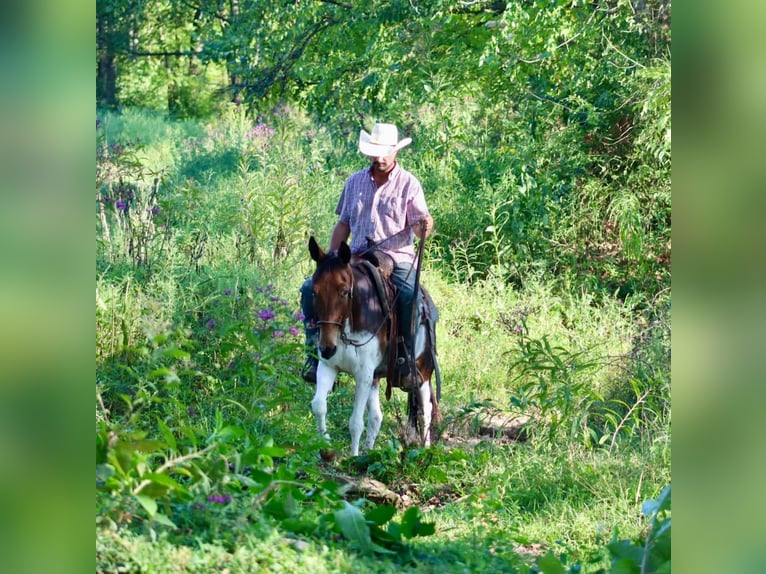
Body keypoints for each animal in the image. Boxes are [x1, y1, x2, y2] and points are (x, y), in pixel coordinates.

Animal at [307, 236, 440, 456]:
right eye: (314, 291)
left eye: (344, 291)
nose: (327, 348)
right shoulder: (329, 366)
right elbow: (319, 405)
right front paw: (326, 449)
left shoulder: (363, 374)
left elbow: (355, 423)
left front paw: (352, 458)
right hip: (377, 377)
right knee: (377, 417)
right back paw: (369, 452)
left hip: (423, 373)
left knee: (425, 412)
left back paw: (424, 451)